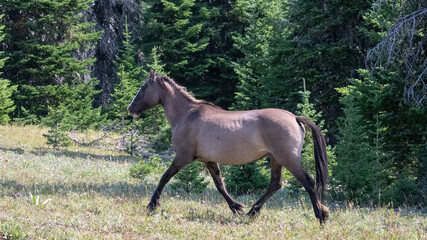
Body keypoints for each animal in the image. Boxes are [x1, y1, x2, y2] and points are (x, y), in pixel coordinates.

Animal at [128, 69, 332, 223]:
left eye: (143, 87)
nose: (130, 108)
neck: (187, 115)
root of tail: (295, 117)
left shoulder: (182, 157)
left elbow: (164, 177)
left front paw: (152, 205)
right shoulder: (209, 161)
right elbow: (220, 186)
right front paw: (236, 207)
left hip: (287, 158)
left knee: (308, 182)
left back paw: (321, 216)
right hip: (276, 159)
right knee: (275, 184)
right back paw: (251, 213)